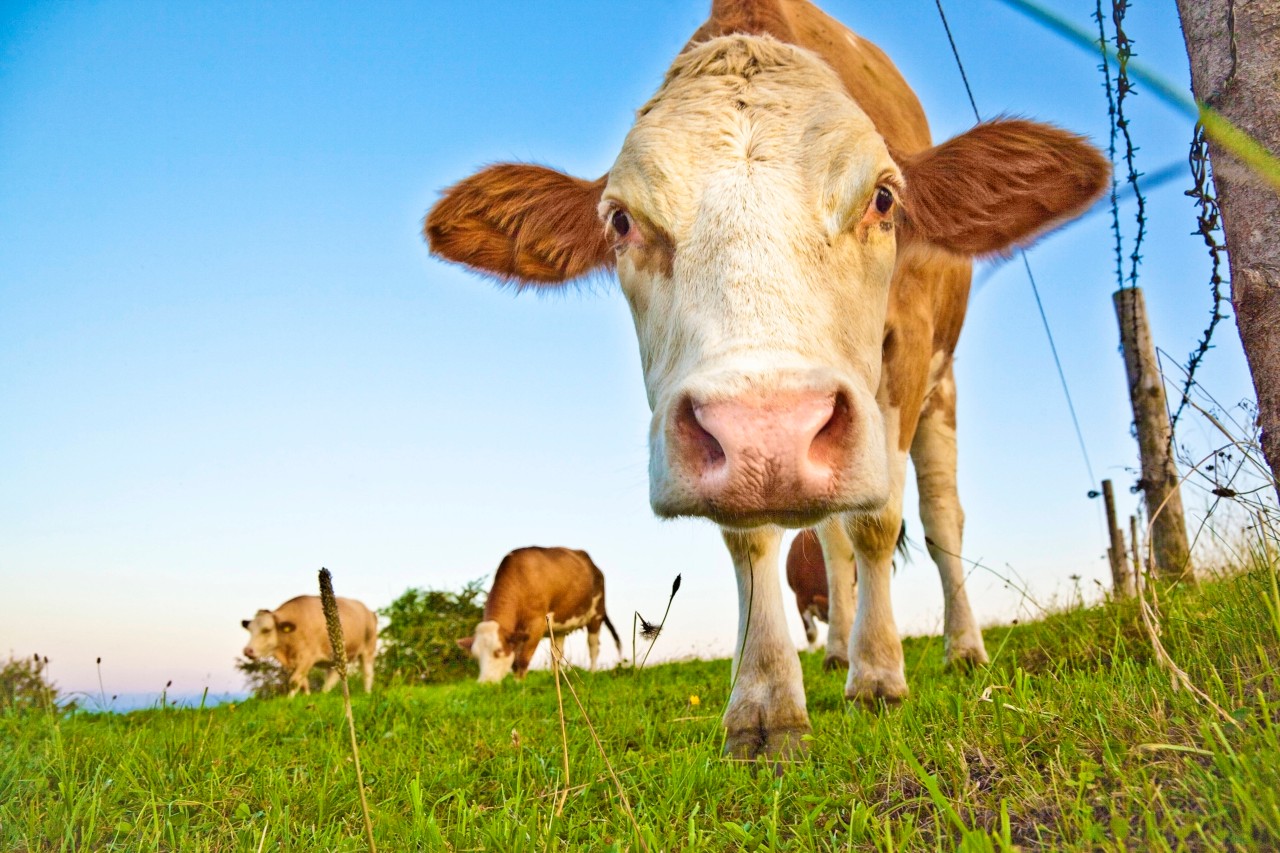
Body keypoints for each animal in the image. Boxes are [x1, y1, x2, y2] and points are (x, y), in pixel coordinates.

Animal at [240, 594, 376, 696]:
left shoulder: (308, 657)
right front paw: (307, 697)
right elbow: (303, 683)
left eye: (266, 630)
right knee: (332, 678)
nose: (247, 651)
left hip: (368, 649)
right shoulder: (294, 661)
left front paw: (289, 700)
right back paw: (324, 694)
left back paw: (367, 693)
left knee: (367, 674)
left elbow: (294, 681)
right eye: (250, 630)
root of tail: (369, 611)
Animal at [458, 548, 622, 681]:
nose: (484, 683)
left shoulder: (536, 625)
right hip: (559, 626)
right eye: (476, 656)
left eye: (498, 652)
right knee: (557, 652)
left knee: (593, 646)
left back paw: (593, 673)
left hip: (596, 614)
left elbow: (522, 660)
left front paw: (519, 686)